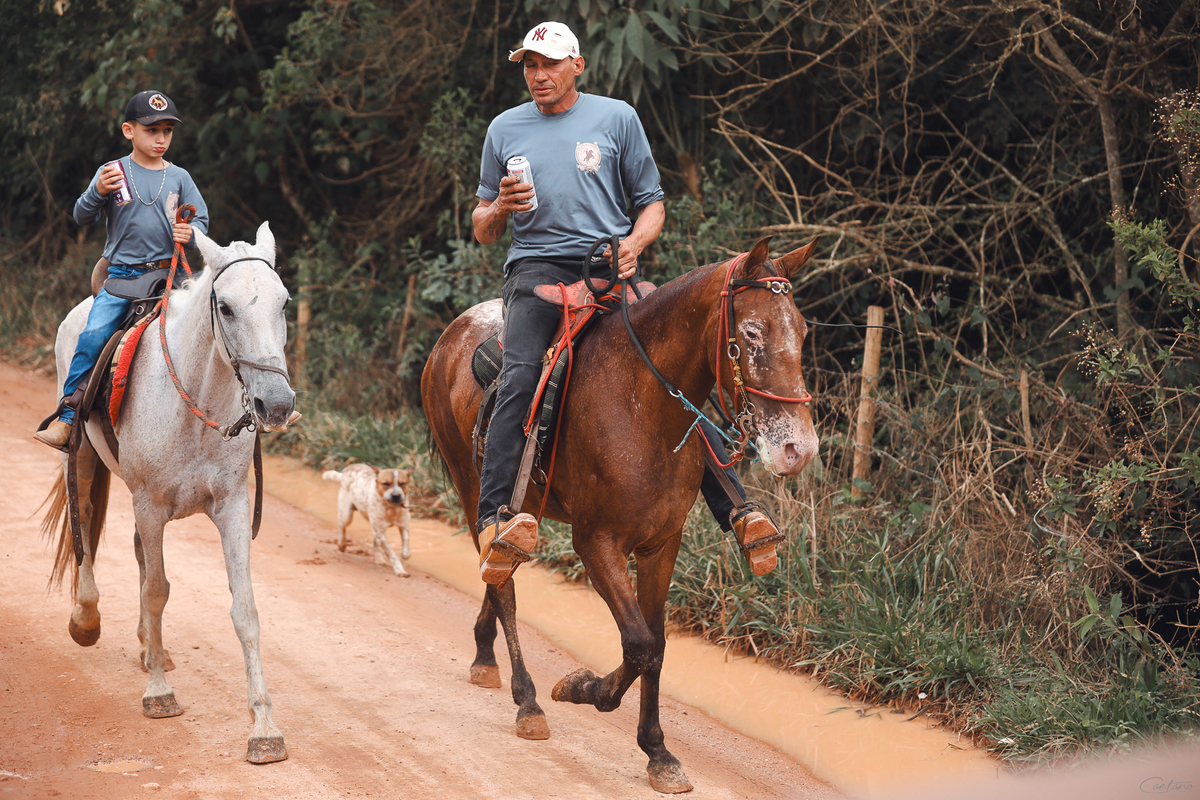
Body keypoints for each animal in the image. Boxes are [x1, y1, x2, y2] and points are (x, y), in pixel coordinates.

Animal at [40, 222, 295, 764]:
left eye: (284, 303)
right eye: (226, 308)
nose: (278, 403)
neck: (198, 403)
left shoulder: (233, 507)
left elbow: (245, 609)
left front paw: (264, 726)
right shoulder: (150, 504)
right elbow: (157, 591)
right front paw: (159, 694)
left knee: (138, 554)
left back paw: (147, 647)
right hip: (85, 456)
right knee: (84, 519)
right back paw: (87, 618)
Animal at [420, 237, 820, 793]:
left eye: (802, 331)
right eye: (752, 332)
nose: (797, 449)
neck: (641, 406)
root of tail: (451, 335)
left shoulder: (661, 545)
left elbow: (657, 645)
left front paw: (658, 752)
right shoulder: (596, 543)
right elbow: (638, 644)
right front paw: (581, 686)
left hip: (518, 507)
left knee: (498, 561)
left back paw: (484, 655)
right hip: (469, 481)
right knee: (506, 591)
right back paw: (528, 701)